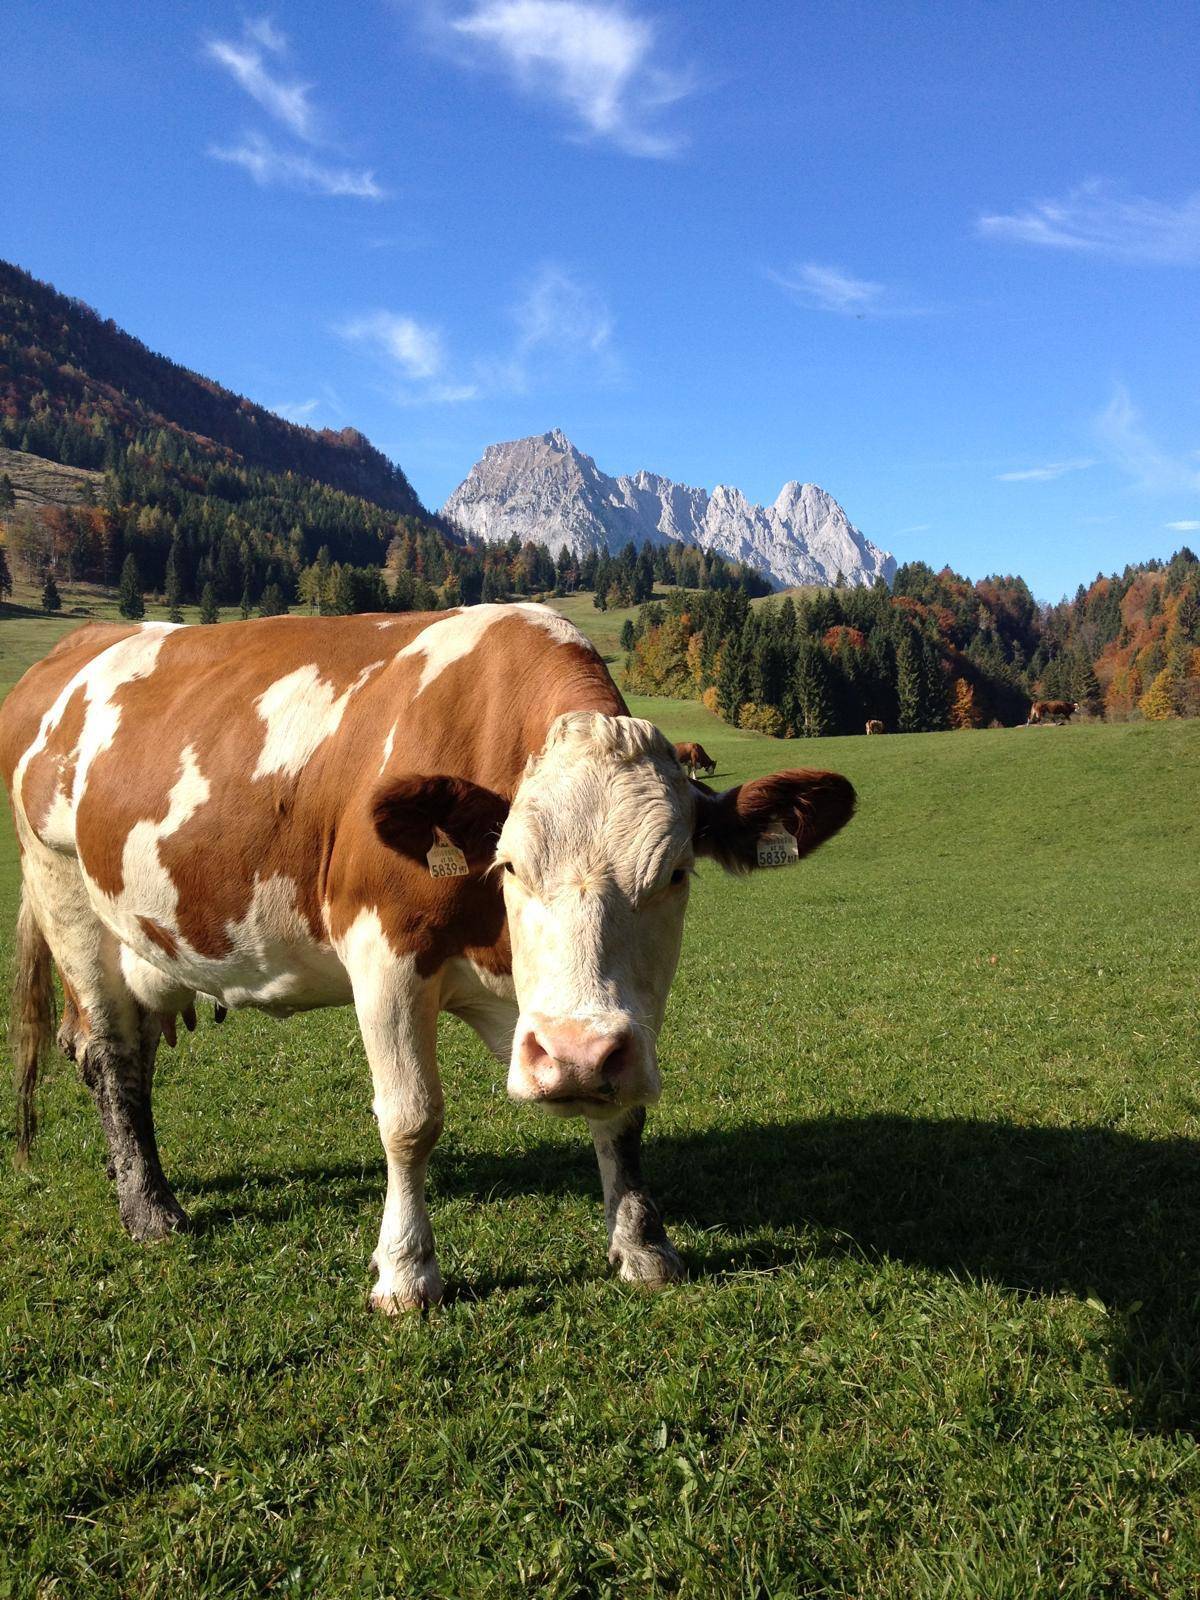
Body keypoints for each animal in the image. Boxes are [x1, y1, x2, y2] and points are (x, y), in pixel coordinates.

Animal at [2, 606, 855, 1311]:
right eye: (510, 867)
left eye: (676, 873)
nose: (574, 1055)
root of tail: (73, 650)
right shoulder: (384, 951)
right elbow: (410, 1118)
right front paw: (408, 1274)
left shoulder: (607, 1019)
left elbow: (622, 1113)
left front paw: (642, 1245)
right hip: (61, 888)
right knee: (109, 1055)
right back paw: (151, 1209)